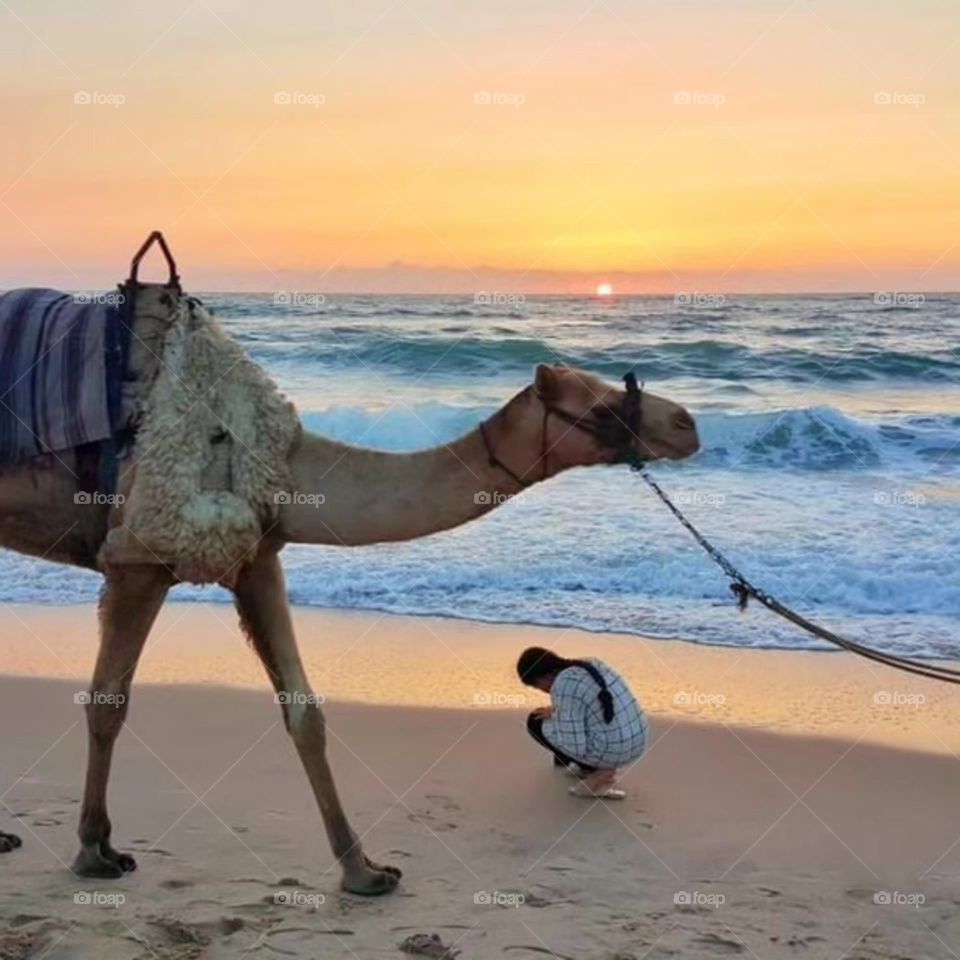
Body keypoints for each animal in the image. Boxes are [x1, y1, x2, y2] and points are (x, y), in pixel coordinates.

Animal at [0, 357, 698, 895]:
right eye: (600, 406)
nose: (687, 424)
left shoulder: (259, 558)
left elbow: (305, 714)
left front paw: (364, 870)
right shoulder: (137, 562)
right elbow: (107, 703)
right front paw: (95, 851)